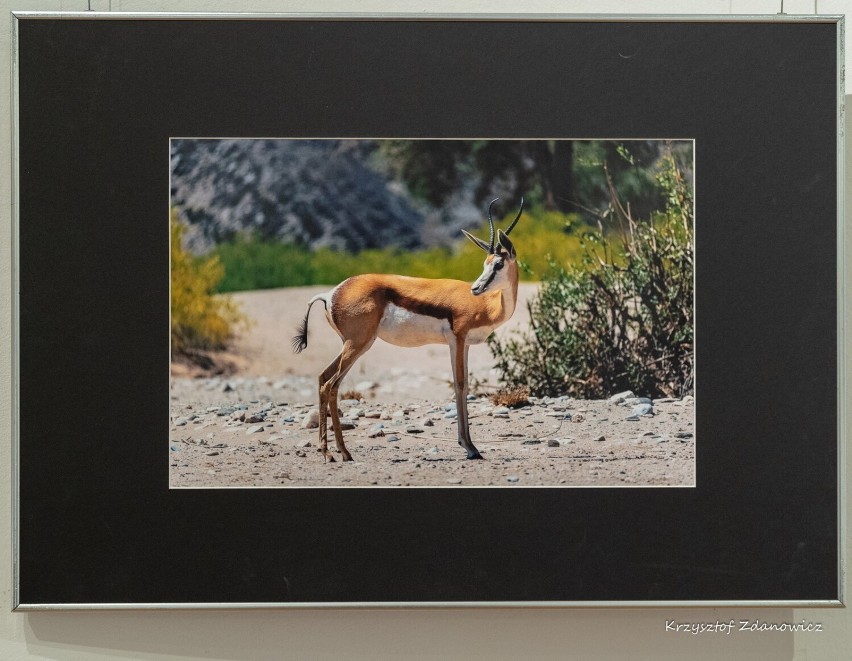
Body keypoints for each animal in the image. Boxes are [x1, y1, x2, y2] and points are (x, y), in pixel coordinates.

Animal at [292, 199, 520, 462]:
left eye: (498, 263)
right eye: (486, 264)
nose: (476, 288)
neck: (486, 306)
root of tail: (330, 293)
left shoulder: (461, 345)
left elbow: (460, 385)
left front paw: (468, 445)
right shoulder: (459, 339)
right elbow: (461, 385)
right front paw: (471, 447)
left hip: (352, 344)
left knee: (323, 379)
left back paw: (336, 451)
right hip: (358, 344)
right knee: (331, 385)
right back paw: (335, 452)